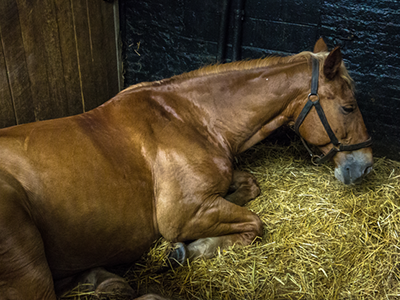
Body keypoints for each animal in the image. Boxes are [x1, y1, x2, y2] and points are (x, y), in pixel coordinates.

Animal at [1, 38, 374, 298]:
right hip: (30, 273)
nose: (366, 166)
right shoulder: (181, 214)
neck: (190, 117)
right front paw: (185, 250)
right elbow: (253, 225)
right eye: (348, 107)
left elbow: (249, 186)